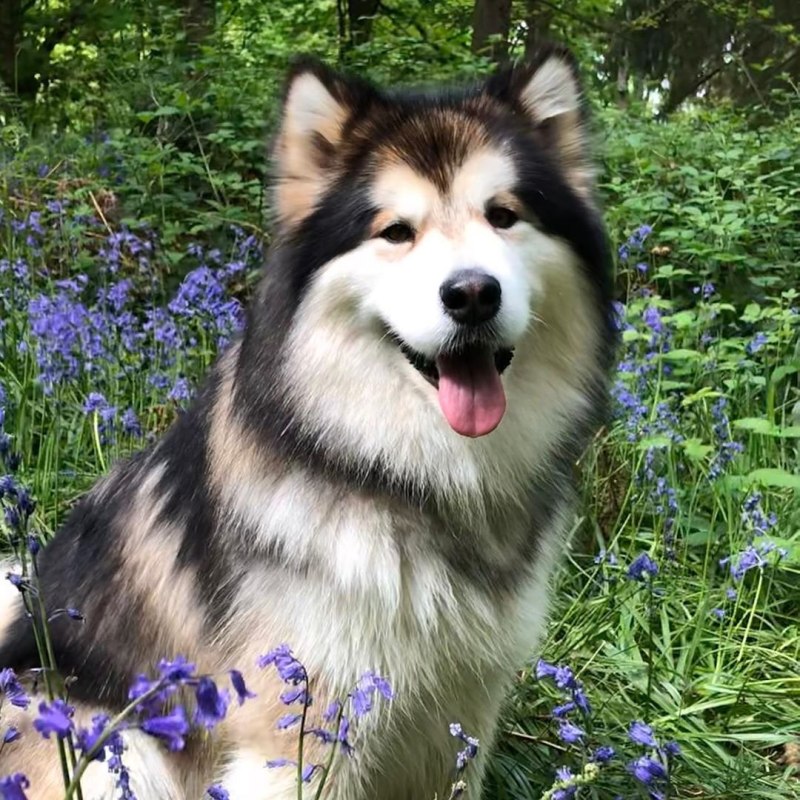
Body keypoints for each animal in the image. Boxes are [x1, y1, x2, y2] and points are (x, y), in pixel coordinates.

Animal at [0, 45, 615, 799]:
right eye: (396, 231)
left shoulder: (462, 712)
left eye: (504, 216)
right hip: (113, 745)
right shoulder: (299, 731)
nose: (472, 293)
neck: (413, 477)